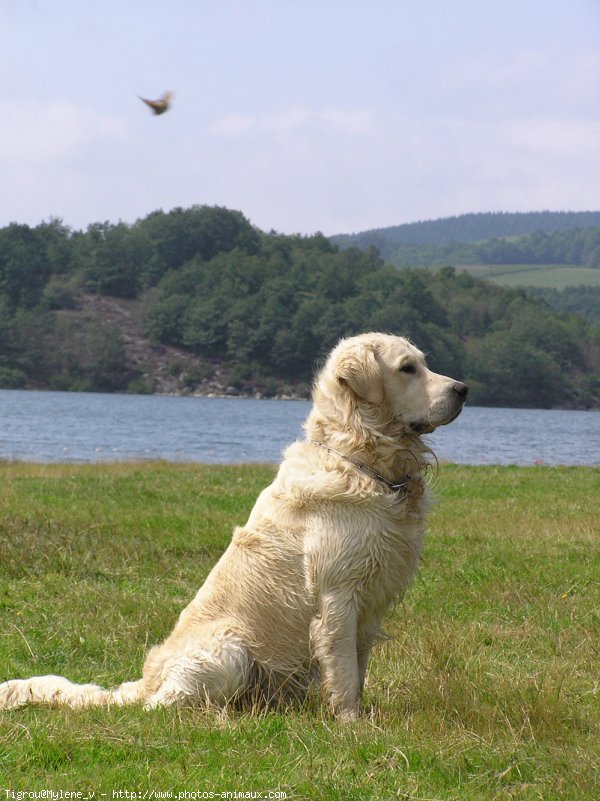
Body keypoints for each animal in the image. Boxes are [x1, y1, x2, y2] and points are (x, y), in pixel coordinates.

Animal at [0, 332, 468, 720]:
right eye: (407, 368)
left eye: (424, 364)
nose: (463, 389)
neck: (362, 462)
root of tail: (146, 681)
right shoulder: (338, 596)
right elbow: (346, 676)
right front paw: (351, 726)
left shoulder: (371, 604)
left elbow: (359, 667)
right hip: (232, 649)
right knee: (161, 707)